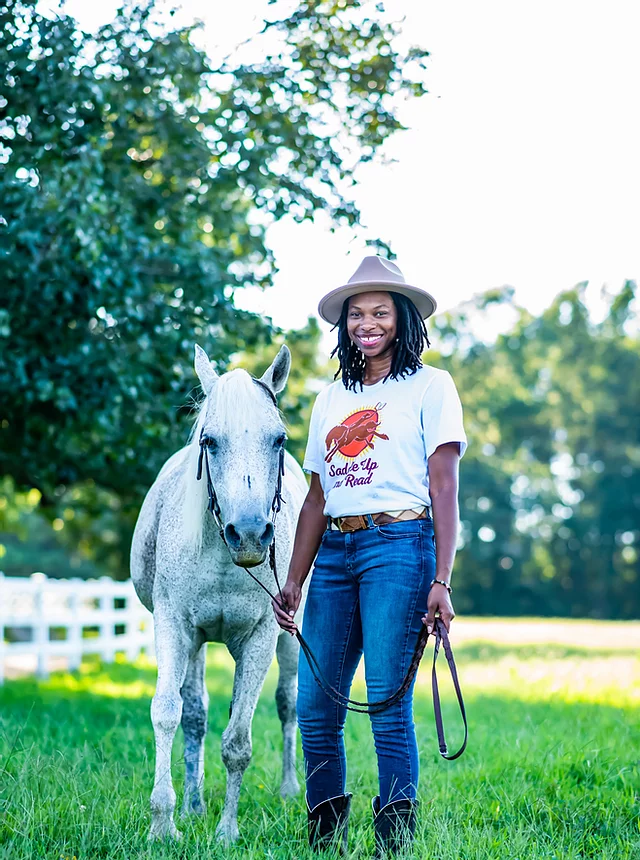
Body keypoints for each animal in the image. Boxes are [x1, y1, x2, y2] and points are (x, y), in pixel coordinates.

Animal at [131, 342, 308, 840]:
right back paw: (192, 804)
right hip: (195, 644)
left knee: (288, 704)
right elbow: (169, 713)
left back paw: (289, 788)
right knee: (194, 716)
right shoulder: (174, 627)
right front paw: (164, 823)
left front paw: (227, 831)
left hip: (288, 641)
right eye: (209, 441)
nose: (248, 534)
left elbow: (238, 740)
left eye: (279, 440)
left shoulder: (261, 637)